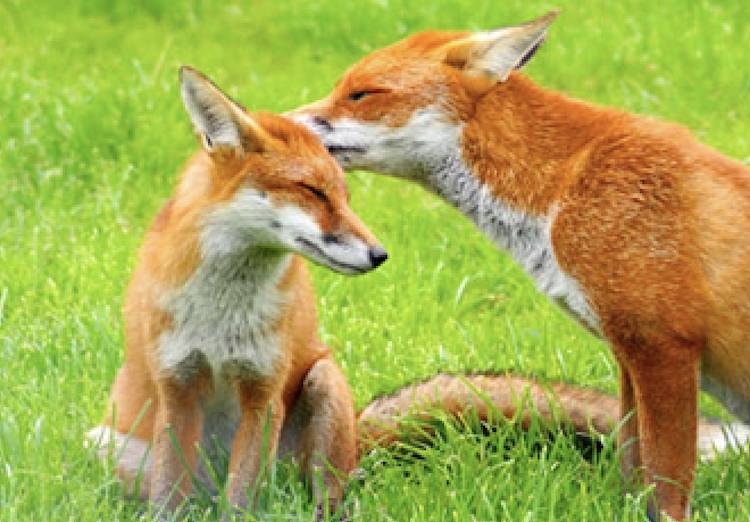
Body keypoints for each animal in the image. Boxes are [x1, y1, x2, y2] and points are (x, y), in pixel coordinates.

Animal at [291, 9, 750, 521]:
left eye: (361, 94)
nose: (281, 124)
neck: (561, 190)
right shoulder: (630, 352)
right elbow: (635, 472)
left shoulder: (663, 345)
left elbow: (667, 487)